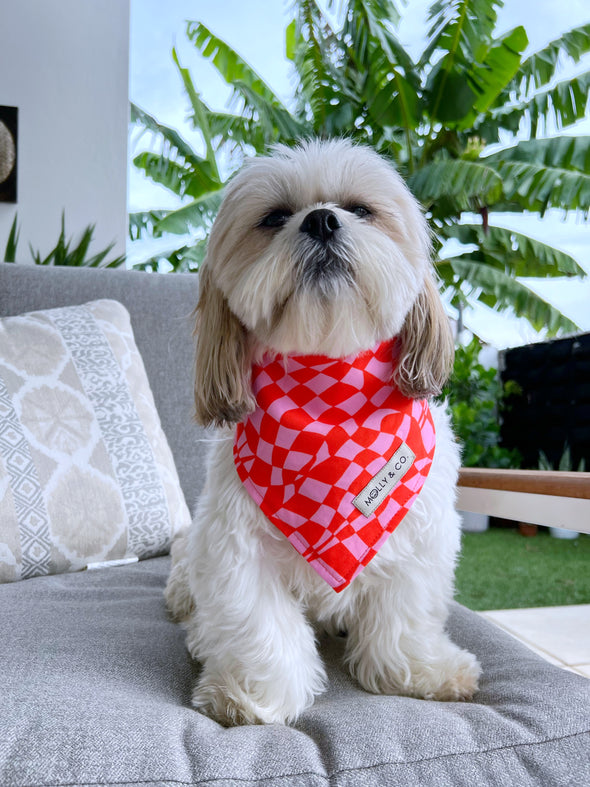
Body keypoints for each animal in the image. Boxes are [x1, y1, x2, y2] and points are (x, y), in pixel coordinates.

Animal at [165, 137, 480, 728]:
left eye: (360, 209)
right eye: (274, 217)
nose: (322, 220)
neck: (326, 395)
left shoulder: (417, 535)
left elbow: (406, 617)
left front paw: (420, 671)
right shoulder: (237, 548)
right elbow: (261, 626)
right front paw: (251, 696)